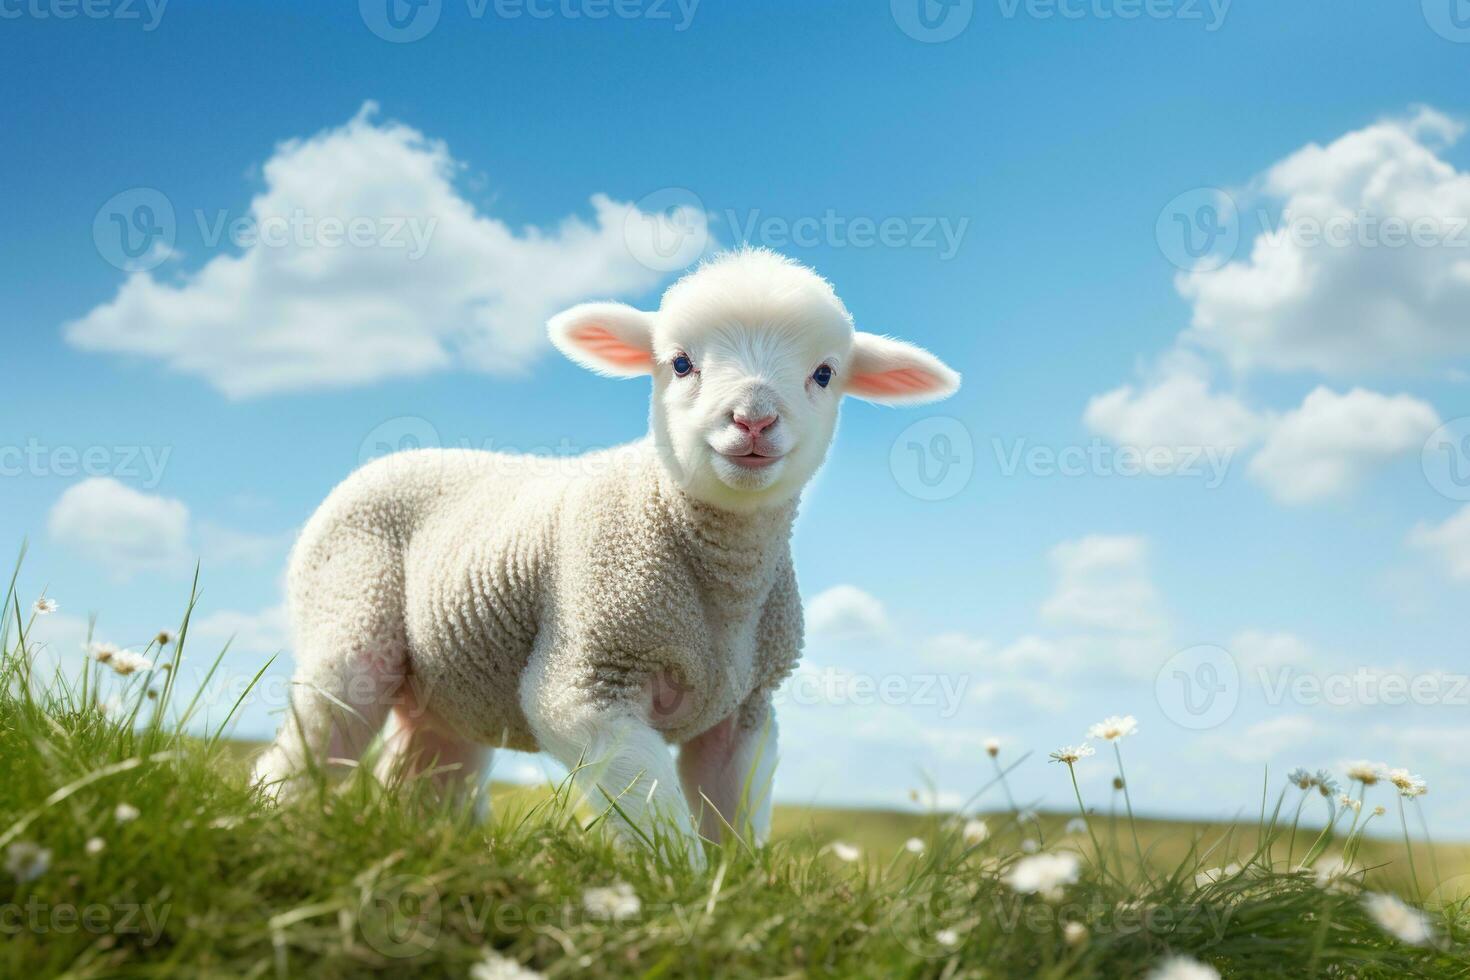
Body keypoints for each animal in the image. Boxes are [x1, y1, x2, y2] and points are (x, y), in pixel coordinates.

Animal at [249, 246, 964, 863]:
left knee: (426, 767)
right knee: (318, 730)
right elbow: (651, 806)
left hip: (449, 684)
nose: (753, 420)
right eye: (680, 363)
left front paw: (733, 893)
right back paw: (271, 819)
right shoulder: (587, 678)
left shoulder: (747, 710)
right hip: (351, 606)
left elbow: (730, 818)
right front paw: (681, 893)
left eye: (824, 373)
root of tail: (395, 457)